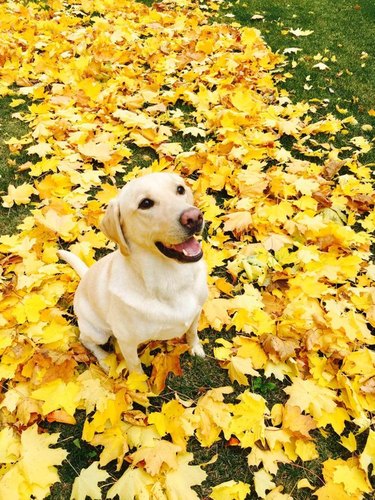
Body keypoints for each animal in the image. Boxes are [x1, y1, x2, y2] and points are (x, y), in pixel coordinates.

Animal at [58, 174, 209, 374]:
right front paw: (140, 383)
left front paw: (195, 347)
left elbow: (192, 332)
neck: (172, 278)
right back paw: (105, 359)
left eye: (180, 189)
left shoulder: (196, 312)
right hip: (98, 332)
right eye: (145, 203)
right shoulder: (127, 343)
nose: (194, 217)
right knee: (85, 339)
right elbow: (135, 367)